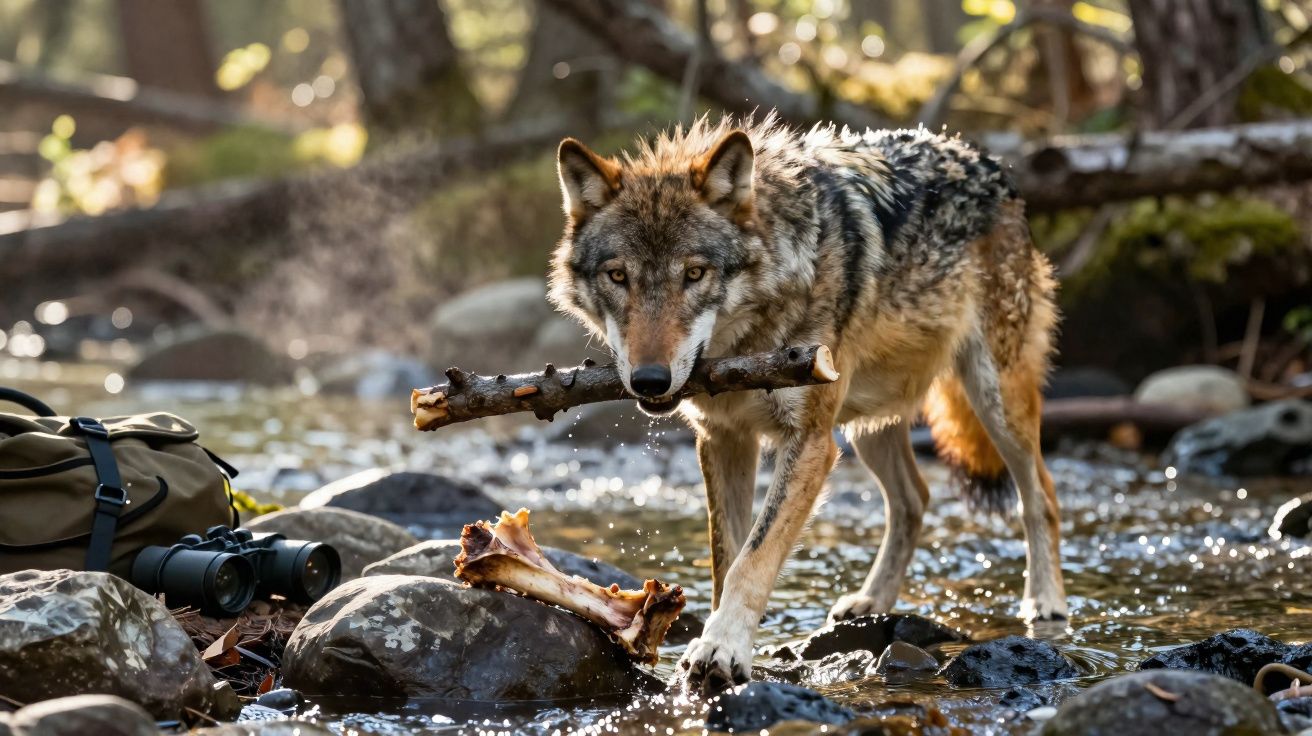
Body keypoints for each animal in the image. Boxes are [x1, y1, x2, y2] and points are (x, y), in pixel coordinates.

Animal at [548, 114, 1067, 694]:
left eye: (695, 274)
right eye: (619, 276)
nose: (651, 381)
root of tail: (991, 166)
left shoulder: (811, 443)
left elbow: (753, 558)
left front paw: (722, 650)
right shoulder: (725, 439)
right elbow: (728, 556)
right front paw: (716, 637)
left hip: (994, 401)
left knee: (1040, 495)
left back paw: (1045, 601)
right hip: (868, 428)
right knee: (914, 498)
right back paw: (872, 601)